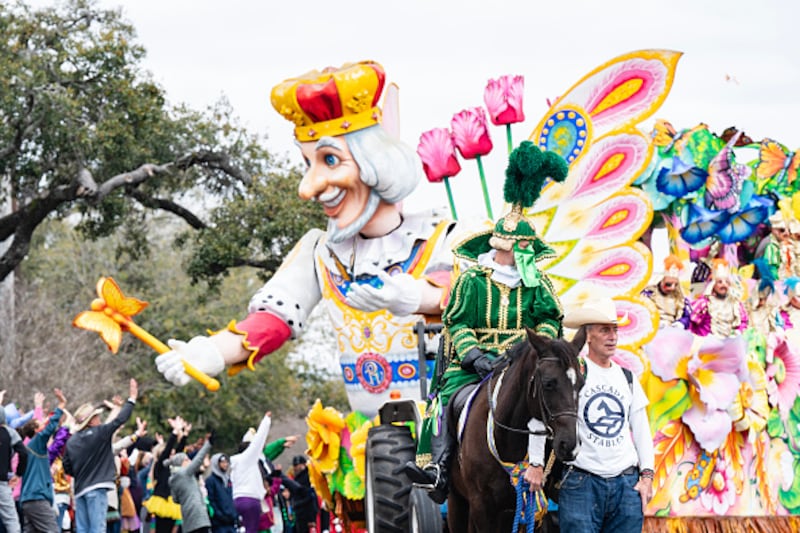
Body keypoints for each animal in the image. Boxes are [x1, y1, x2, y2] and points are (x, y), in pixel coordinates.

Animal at [444, 330, 580, 528]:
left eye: (582, 384)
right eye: (548, 383)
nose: (570, 445)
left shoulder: (528, 507)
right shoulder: (481, 506)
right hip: (457, 502)